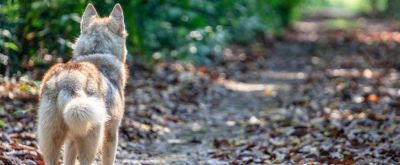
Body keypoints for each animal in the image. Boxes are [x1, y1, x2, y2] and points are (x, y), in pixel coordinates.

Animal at [37, 3, 128, 165]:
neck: (97, 52)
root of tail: (68, 82)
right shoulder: (111, 135)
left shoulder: (70, 142)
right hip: (91, 141)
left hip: (51, 140)